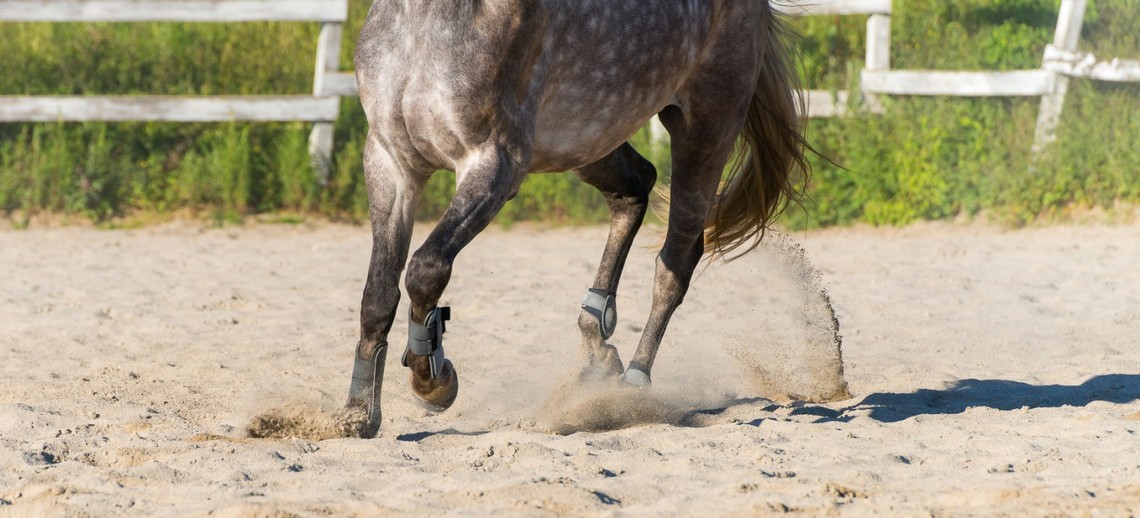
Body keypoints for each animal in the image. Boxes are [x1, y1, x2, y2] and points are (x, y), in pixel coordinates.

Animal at [346, 0, 811, 438]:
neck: (425, 23)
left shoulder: (494, 163)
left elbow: (426, 268)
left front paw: (435, 383)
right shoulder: (390, 163)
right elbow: (378, 293)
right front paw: (358, 413)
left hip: (707, 128)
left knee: (676, 260)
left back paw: (632, 386)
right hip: (589, 136)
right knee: (636, 187)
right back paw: (598, 343)